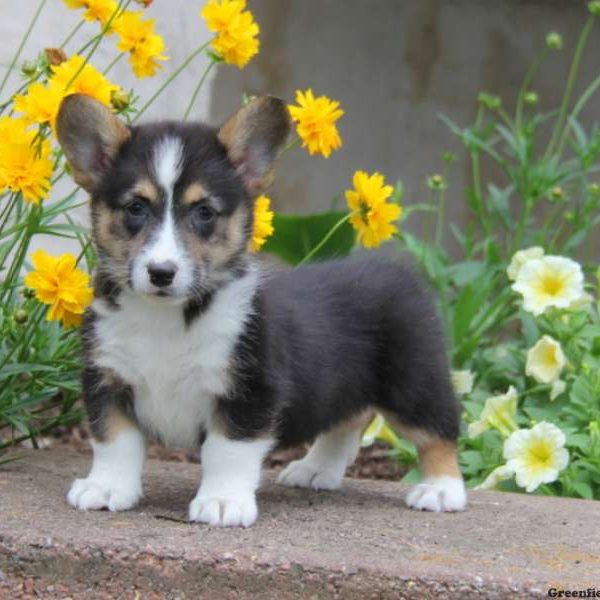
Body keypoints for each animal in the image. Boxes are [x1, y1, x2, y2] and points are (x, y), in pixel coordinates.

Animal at [55, 92, 468, 524]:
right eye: (136, 207)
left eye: (204, 212)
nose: (161, 272)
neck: (168, 317)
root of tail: (397, 270)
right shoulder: (108, 380)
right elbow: (114, 443)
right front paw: (106, 488)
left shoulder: (250, 390)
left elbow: (226, 451)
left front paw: (222, 501)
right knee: (348, 419)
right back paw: (315, 469)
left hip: (414, 383)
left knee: (439, 432)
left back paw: (441, 490)